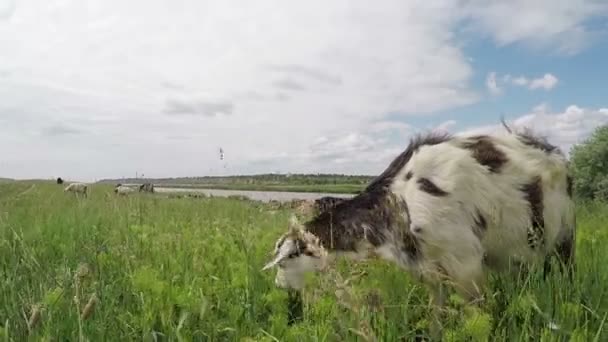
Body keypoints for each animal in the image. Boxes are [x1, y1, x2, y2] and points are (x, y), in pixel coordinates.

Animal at [262, 125, 576, 340]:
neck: (400, 200)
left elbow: (477, 319)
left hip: (562, 238)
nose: (279, 286)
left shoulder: (466, 265)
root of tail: (554, 153)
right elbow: (436, 316)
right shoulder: (432, 271)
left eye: (285, 260)